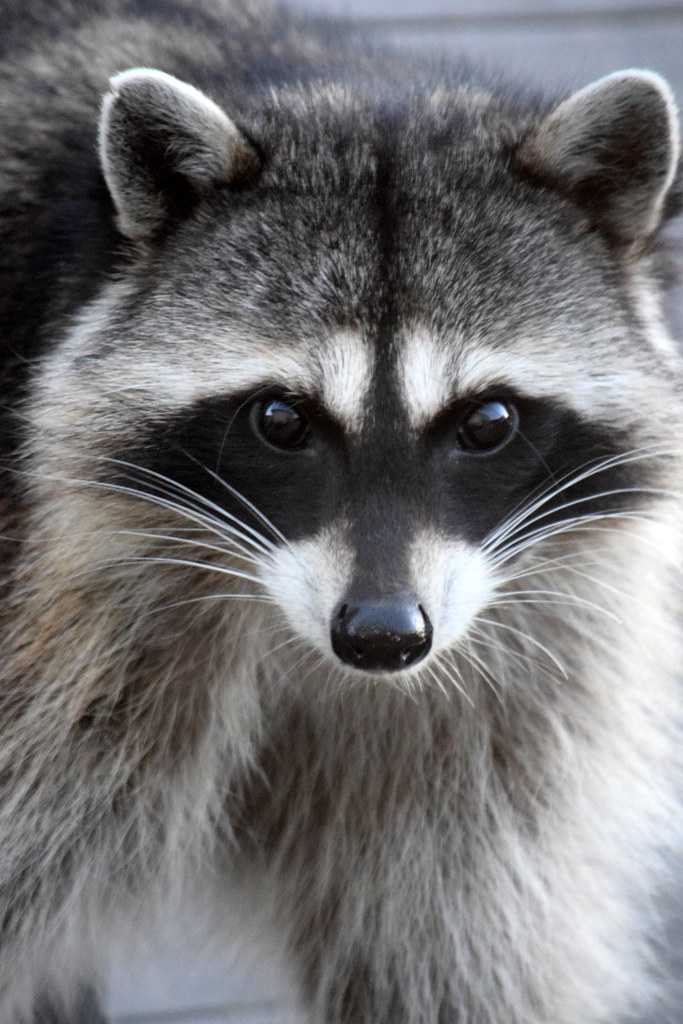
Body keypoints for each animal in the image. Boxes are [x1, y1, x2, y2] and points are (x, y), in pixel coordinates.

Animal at [0, 0, 682, 1021]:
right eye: (281, 420)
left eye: (487, 422)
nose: (381, 635)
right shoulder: (49, 631)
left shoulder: (504, 715)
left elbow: (447, 950)